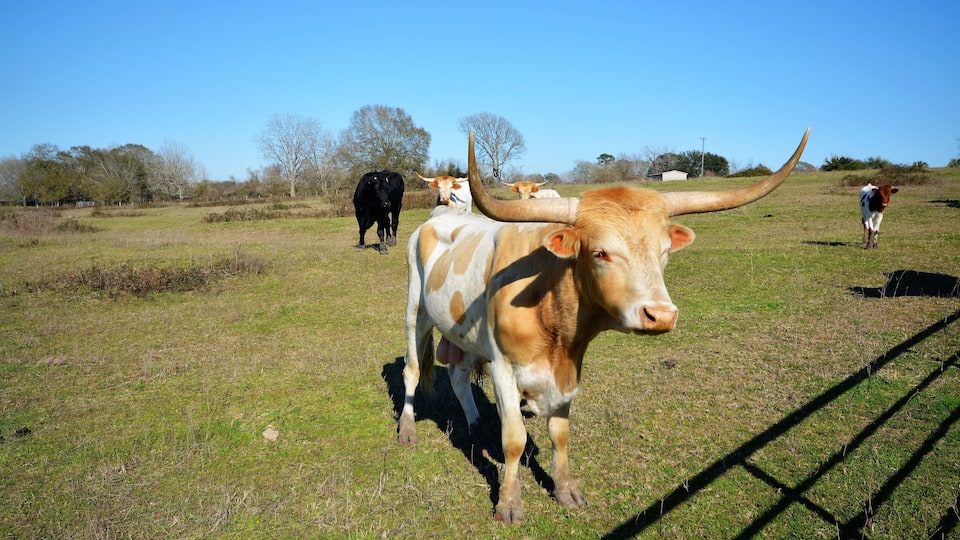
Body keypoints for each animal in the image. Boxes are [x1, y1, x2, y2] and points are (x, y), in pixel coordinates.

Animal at [398, 128, 810, 524]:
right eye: (600, 252)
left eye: (664, 251)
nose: (661, 315)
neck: (552, 310)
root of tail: (437, 218)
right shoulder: (504, 368)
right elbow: (514, 440)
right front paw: (509, 504)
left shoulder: (568, 370)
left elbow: (560, 433)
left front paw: (566, 490)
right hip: (416, 312)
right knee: (413, 371)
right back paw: (407, 429)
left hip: (464, 333)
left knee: (459, 376)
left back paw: (474, 424)